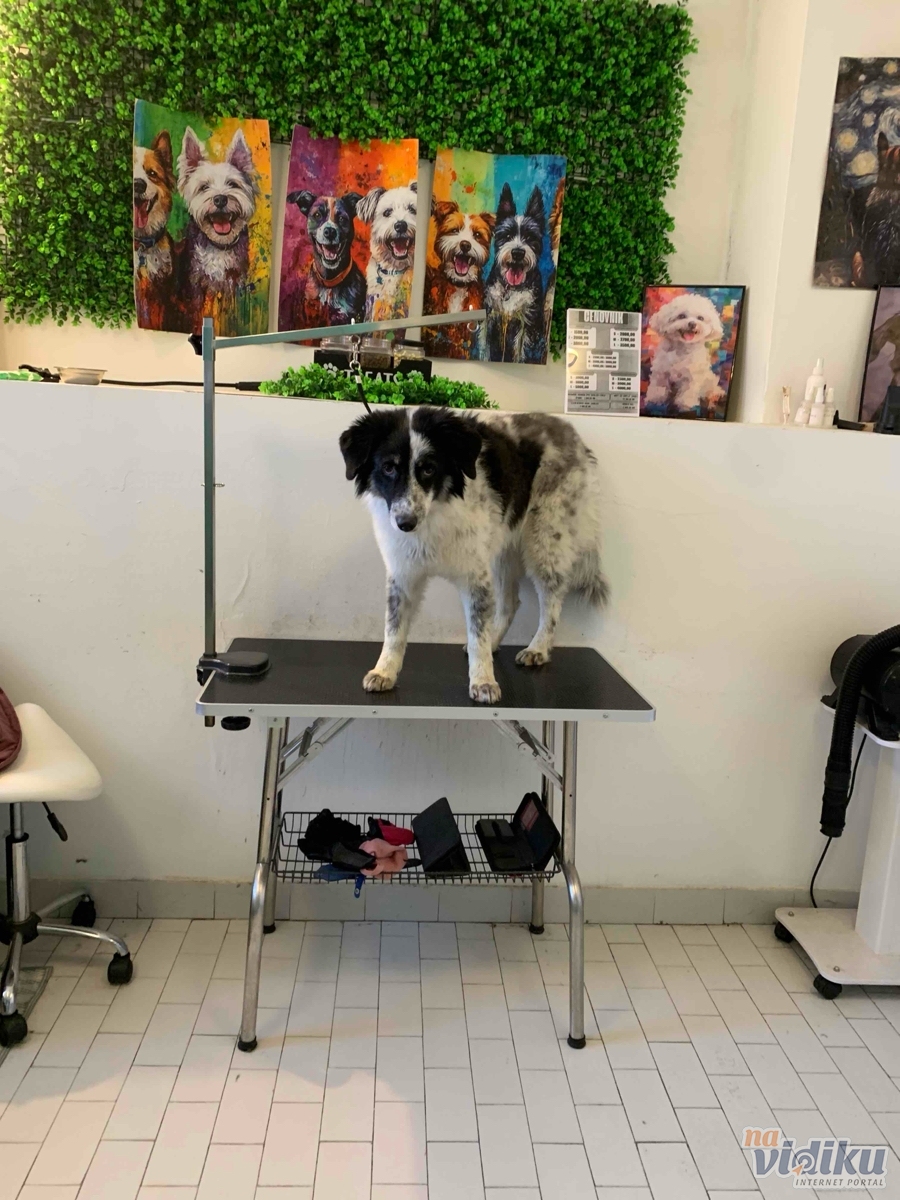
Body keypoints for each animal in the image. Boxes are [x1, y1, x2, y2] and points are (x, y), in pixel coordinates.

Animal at [178, 126, 259, 328]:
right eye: (204, 187)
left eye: (233, 184)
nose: (220, 199)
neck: (219, 245)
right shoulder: (194, 282)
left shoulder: (236, 282)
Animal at [340, 408, 606, 704]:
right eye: (388, 468)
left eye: (429, 468)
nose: (405, 523)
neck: (434, 515)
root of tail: (571, 433)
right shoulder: (403, 576)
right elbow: (393, 629)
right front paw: (384, 671)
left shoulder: (474, 578)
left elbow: (478, 632)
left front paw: (483, 681)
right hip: (502, 552)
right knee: (510, 603)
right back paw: (497, 641)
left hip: (544, 543)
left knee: (552, 599)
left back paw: (538, 648)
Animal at [485, 183, 546, 363]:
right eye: (507, 235)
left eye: (530, 237)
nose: (517, 253)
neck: (510, 288)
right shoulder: (491, 317)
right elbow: (485, 349)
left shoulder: (527, 322)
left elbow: (520, 352)